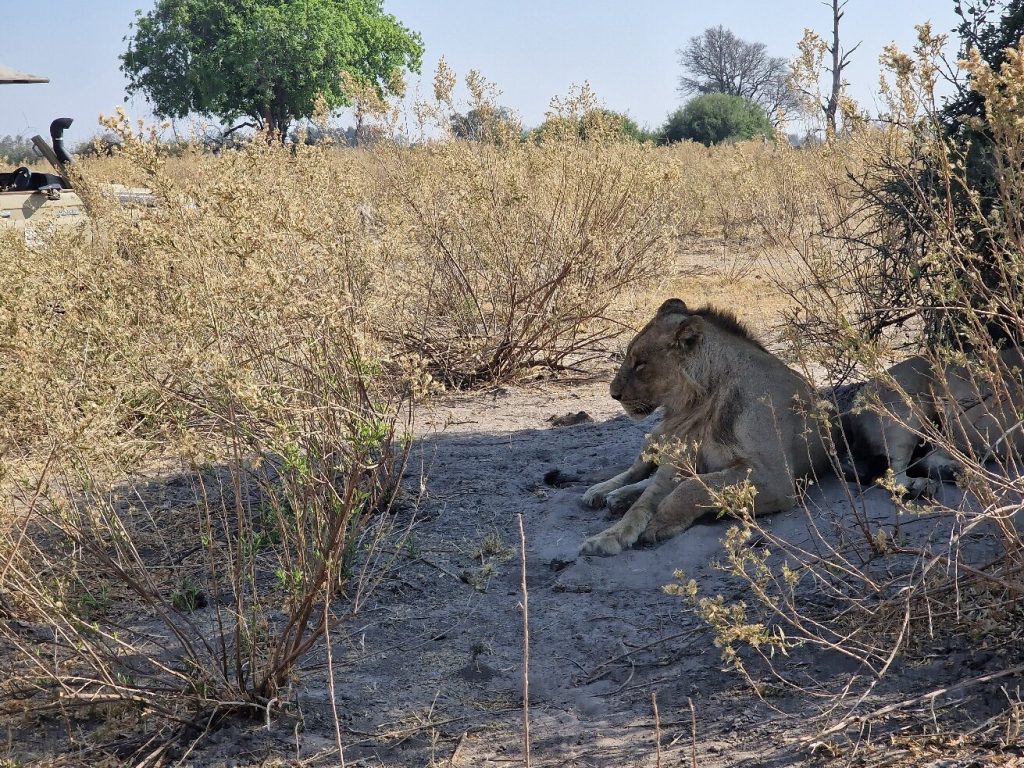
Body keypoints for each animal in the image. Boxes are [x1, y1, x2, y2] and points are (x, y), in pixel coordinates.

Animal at [579, 298, 836, 557]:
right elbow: (644, 502)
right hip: (656, 436)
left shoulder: (776, 479)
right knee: (636, 471)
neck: (702, 400)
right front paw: (609, 536)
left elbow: (691, 487)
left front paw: (661, 521)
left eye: (640, 364)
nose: (613, 394)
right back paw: (604, 492)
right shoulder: (676, 460)